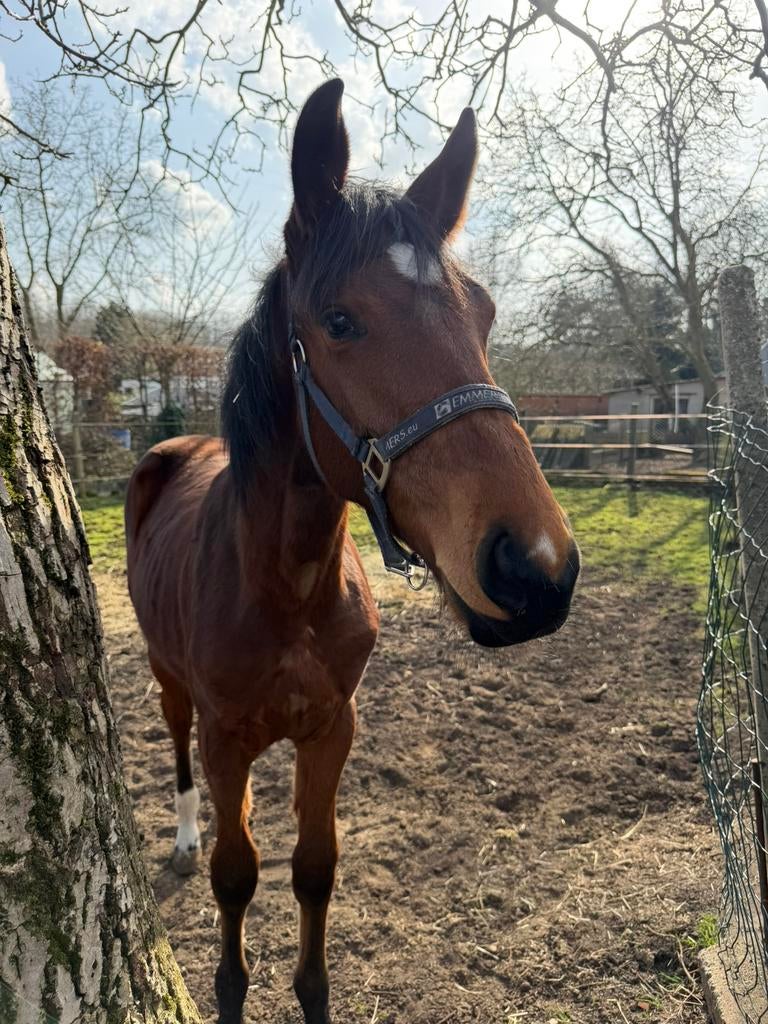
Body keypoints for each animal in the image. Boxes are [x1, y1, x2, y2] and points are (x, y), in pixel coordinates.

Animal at [125, 78, 580, 1024]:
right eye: (339, 321)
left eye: (485, 313)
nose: (537, 568)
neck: (286, 587)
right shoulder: (227, 738)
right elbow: (235, 876)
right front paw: (230, 990)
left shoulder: (333, 728)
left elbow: (313, 870)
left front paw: (312, 993)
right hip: (167, 678)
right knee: (175, 744)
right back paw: (182, 835)